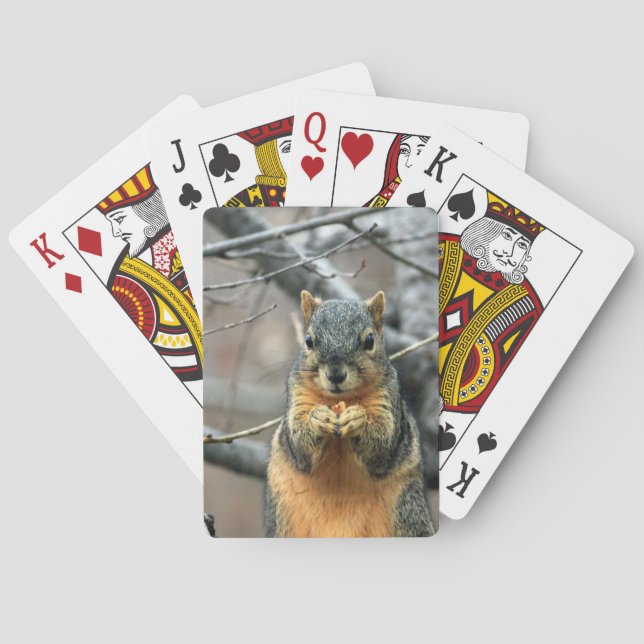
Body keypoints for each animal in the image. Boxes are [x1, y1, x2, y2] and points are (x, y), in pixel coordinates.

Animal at [265, 290, 434, 538]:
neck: (338, 401)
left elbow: (383, 445)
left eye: (369, 340)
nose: (335, 375)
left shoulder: (387, 400)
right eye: (308, 341)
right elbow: (299, 445)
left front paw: (358, 420)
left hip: (406, 512)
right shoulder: (297, 397)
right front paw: (318, 419)